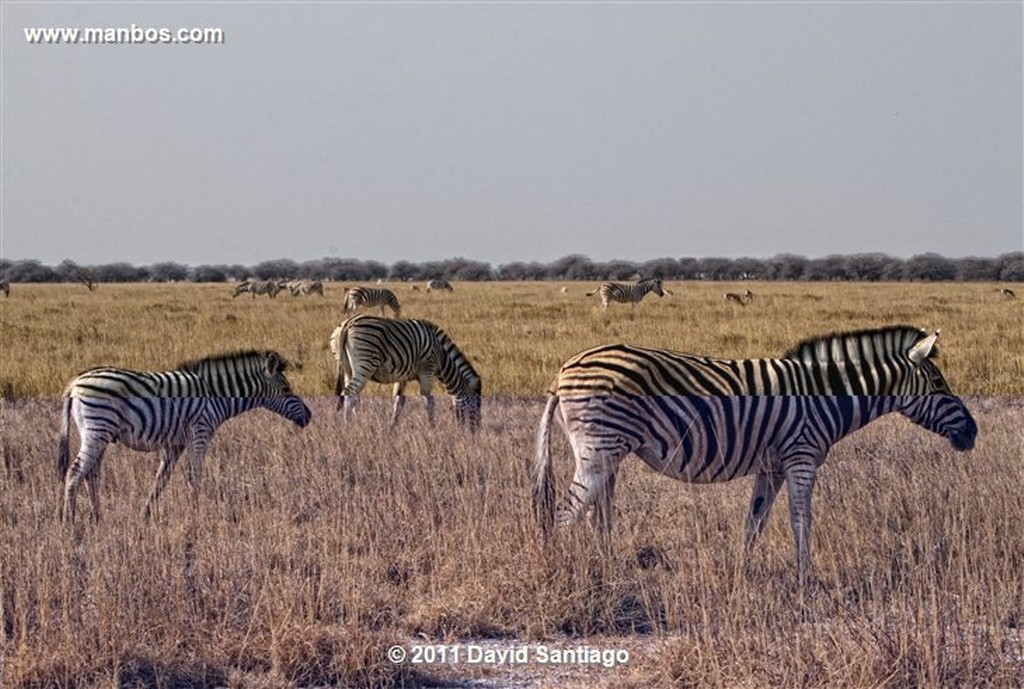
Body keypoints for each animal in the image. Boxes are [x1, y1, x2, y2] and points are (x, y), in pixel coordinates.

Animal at [56, 350, 309, 522]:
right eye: (286, 390)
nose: (309, 416)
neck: (214, 394)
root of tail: (76, 382)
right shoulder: (200, 432)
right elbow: (194, 476)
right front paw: (196, 515)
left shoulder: (175, 443)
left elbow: (161, 479)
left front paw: (145, 515)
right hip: (97, 430)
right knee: (75, 472)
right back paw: (69, 522)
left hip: (101, 435)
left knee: (92, 474)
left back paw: (98, 518)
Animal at [331, 315, 483, 429]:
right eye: (477, 406)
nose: (476, 431)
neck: (442, 355)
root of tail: (348, 323)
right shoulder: (427, 370)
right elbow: (429, 401)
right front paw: (433, 428)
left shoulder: (402, 377)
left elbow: (399, 402)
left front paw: (392, 427)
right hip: (365, 365)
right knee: (349, 394)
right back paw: (348, 427)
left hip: (347, 368)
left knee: (351, 396)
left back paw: (356, 423)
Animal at [536, 323, 974, 581]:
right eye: (938, 384)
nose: (972, 432)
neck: (825, 396)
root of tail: (564, 369)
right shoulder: (801, 457)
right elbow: (801, 519)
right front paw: (805, 577)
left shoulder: (772, 467)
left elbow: (755, 522)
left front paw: (741, 571)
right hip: (599, 447)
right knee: (566, 513)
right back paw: (560, 569)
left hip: (611, 450)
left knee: (599, 514)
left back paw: (605, 567)